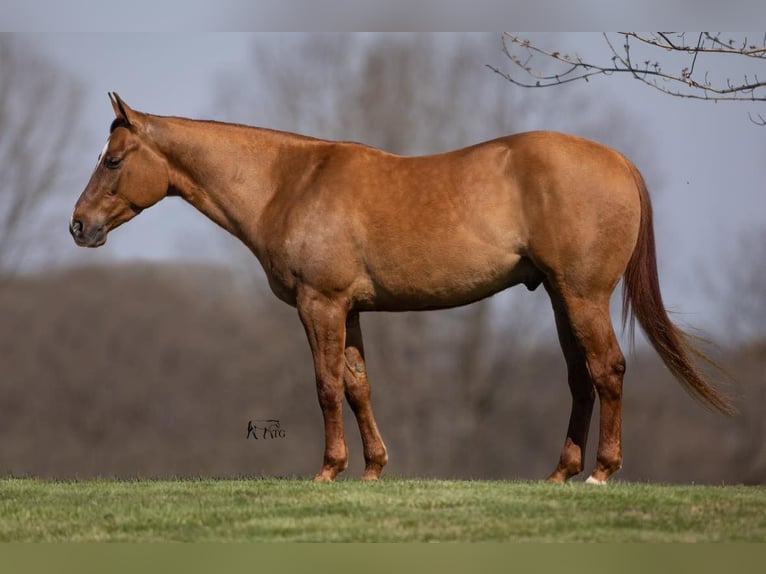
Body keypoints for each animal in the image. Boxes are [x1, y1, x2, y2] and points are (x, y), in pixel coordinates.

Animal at [69, 94, 736, 486]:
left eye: (113, 159)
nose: (79, 226)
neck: (290, 182)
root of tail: (618, 161)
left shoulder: (320, 303)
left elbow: (326, 385)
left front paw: (329, 470)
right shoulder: (349, 309)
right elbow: (358, 384)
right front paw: (372, 470)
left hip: (581, 295)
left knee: (609, 370)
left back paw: (601, 472)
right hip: (558, 298)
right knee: (581, 379)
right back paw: (560, 474)